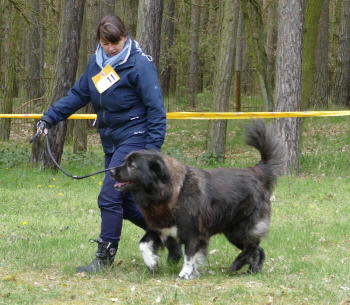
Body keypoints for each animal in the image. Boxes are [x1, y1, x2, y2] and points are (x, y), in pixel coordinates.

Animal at [110, 119, 286, 278]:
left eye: (132, 166)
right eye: (125, 161)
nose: (111, 171)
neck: (172, 193)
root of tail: (256, 172)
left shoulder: (194, 232)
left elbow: (190, 255)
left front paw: (185, 274)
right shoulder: (159, 228)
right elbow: (143, 244)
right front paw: (152, 262)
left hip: (239, 229)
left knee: (253, 245)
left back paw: (237, 264)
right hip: (233, 231)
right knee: (258, 250)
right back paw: (251, 271)